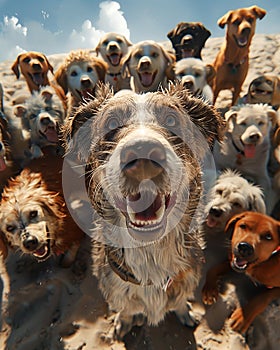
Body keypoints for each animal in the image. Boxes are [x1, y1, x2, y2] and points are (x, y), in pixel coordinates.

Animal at [64, 83, 224, 340]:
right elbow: (126, 310)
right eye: (111, 123)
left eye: (171, 120)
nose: (142, 153)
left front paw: (185, 313)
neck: (151, 256)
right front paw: (124, 322)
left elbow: (180, 302)